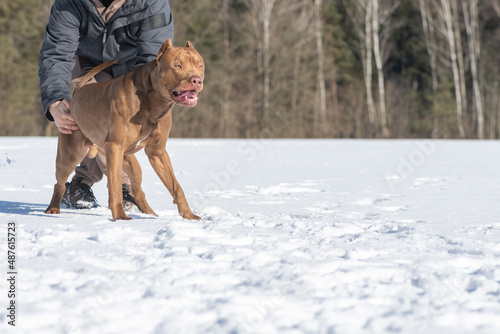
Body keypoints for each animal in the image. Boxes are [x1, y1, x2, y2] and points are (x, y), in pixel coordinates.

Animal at [44, 39, 203, 220]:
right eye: (177, 65)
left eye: (200, 66)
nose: (196, 80)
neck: (154, 103)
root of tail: (77, 93)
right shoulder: (115, 147)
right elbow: (114, 186)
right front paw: (120, 217)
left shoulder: (157, 152)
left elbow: (176, 186)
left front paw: (189, 215)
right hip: (71, 154)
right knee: (60, 183)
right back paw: (53, 208)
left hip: (130, 163)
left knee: (138, 189)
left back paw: (151, 214)